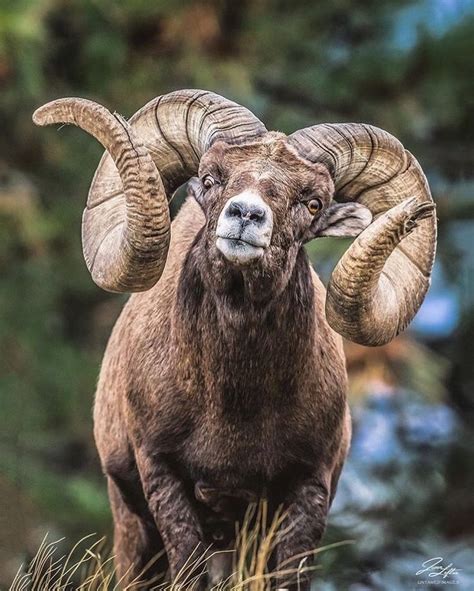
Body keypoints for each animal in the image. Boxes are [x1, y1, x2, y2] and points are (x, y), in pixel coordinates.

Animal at [33, 90, 436, 588]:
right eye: (210, 178)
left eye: (314, 202)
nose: (246, 214)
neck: (233, 408)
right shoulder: (163, 477)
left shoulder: (307, 490)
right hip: (134, 528)